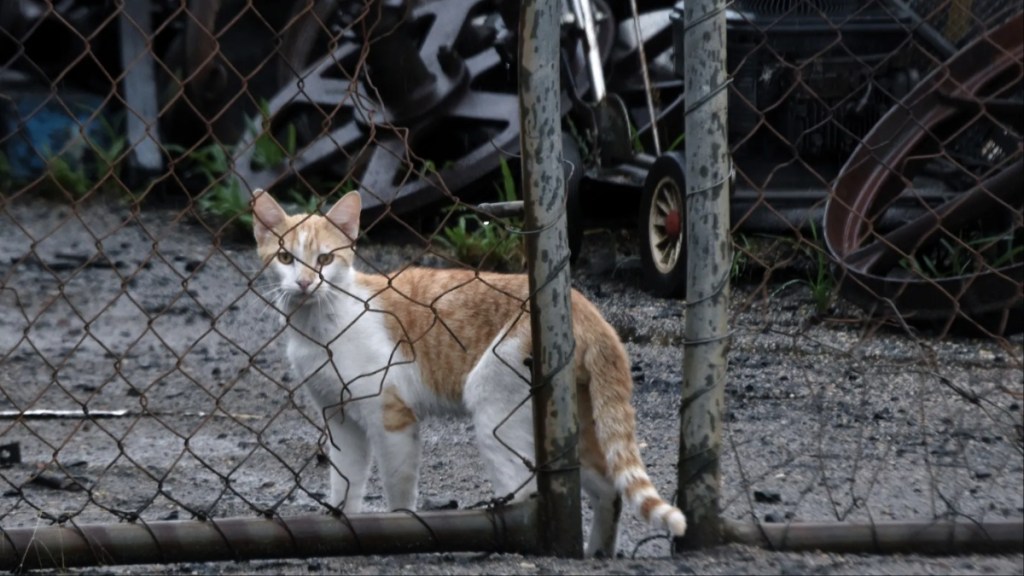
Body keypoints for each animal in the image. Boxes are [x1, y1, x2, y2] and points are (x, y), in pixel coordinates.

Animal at [252, 189, 688, 557]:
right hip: (571, 423)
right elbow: (345, 486)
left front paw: (397, 530)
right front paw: (344, 525)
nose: (305, 283)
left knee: (525, 491)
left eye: (325, 260)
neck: (319, 325)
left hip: (494, 401)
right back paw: (598, 551)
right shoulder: (341, 421)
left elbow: (398, 493)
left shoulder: (391, 417)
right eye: (286, 259)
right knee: (609, 489)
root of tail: (586, 307)